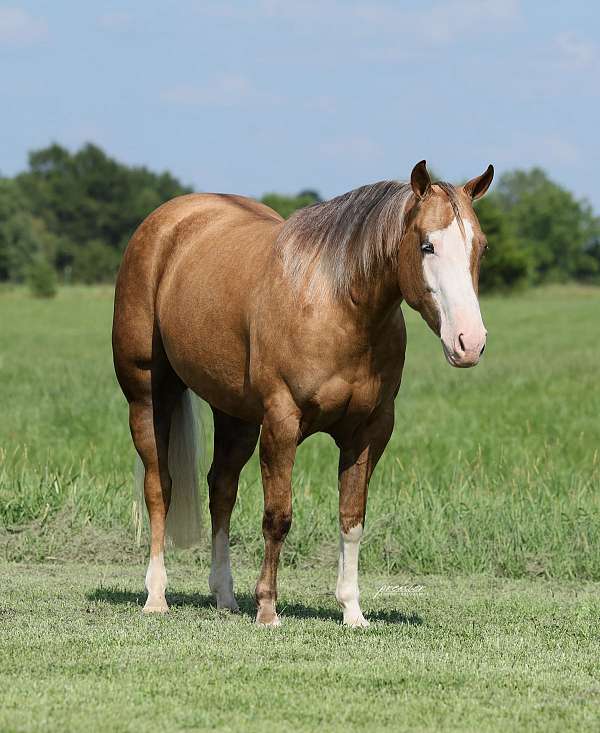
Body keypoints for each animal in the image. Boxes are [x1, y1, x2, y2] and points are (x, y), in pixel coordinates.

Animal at [112, 160, 494, 626]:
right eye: (427, 246)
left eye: (481, 248)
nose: (469, 342)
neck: (337, 304)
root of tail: (165, 223)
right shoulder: (282, 422)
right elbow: (278, 516)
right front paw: (267, 609)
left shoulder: (369, 431)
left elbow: (352, 518)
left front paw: (352, 611)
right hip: (148, 398)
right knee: (159, 487)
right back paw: (156, 596)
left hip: (235, 415)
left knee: (221, 490)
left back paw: (225, 595)